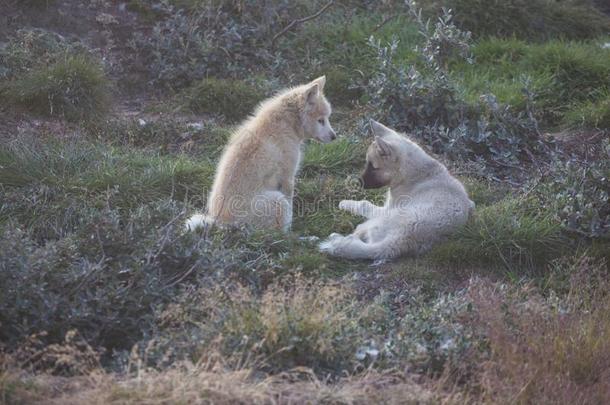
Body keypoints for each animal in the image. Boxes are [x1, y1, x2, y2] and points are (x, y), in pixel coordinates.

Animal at [188, 77, 334, 232]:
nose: (334, 136)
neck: (287, 124)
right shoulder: (288, 177)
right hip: (278, 201)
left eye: (327, 118)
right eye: (320, 120)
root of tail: (222, 222)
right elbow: (290, 208)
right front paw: (292, 229)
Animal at [318, 119, 476, 258]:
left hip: (377, 220)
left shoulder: (385, 208)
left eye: (373, 166)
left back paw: (336, 238)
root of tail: (402, 239)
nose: (358, 183)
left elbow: (364, 204)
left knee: (358, 235)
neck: (414, 173)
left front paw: (344, 203)